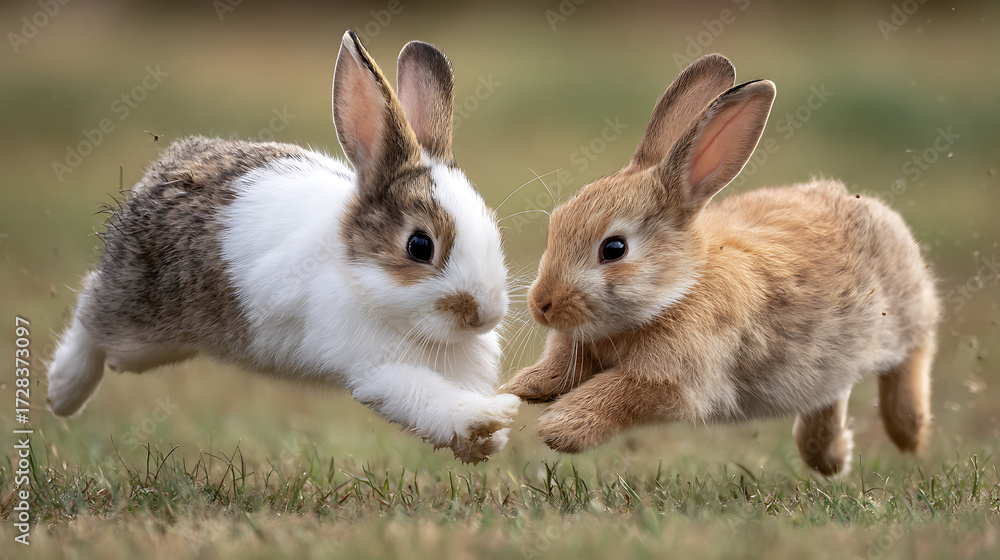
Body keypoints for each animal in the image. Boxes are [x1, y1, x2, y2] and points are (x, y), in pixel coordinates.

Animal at [46, 31, 520, 464]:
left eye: (491, 225)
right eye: (420, 245)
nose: (484, 313)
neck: (357, 270)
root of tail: (158, 176)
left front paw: (488, 443)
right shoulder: (377, 367)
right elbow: (427, 399)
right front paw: (486, 419)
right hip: (141, 321)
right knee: (91, 313)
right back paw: (61, 392)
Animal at [504, 53, 938, 476]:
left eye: (613, 248)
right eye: (556, 224)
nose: (541, 306)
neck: (679, 291)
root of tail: (876, 211)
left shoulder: (675, 379)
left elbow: (619, 394)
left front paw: (560, 429)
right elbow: (564, 366)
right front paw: (524, 389)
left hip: (899, 320)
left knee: (916, 351)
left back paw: (909, 433)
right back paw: (830, 458)